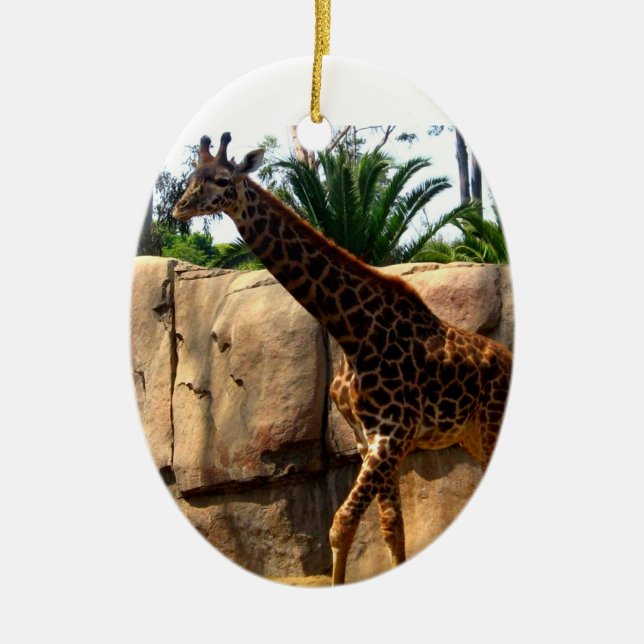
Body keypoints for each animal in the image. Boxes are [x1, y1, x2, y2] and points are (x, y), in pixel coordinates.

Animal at [172, 132, 512, 584]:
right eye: (192, 178)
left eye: (224, 180)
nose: (179, 207)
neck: (351, 332)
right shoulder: (369, 440)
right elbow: (391, 527)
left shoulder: (392, 435)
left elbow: (341, 524)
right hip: (471, 434)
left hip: (490, 425)